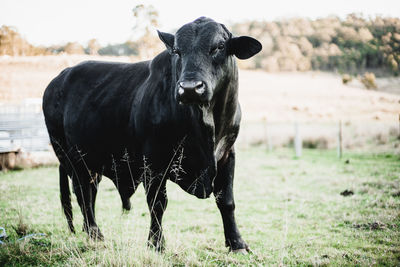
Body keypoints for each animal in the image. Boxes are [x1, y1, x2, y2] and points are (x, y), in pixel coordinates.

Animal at [43, 17, 260, 253]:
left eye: (219, 46)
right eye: (177, 51)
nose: (190, 88)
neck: (206, 125)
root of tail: (61, 77)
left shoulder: (227, 154)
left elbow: (226, 201)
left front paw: (237, 243)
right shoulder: (153, 161)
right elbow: (157, 203)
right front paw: (156, 243)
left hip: (90, 162)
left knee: (90, 192)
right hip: (70, 157)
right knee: (83, 193)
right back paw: (95, 233)